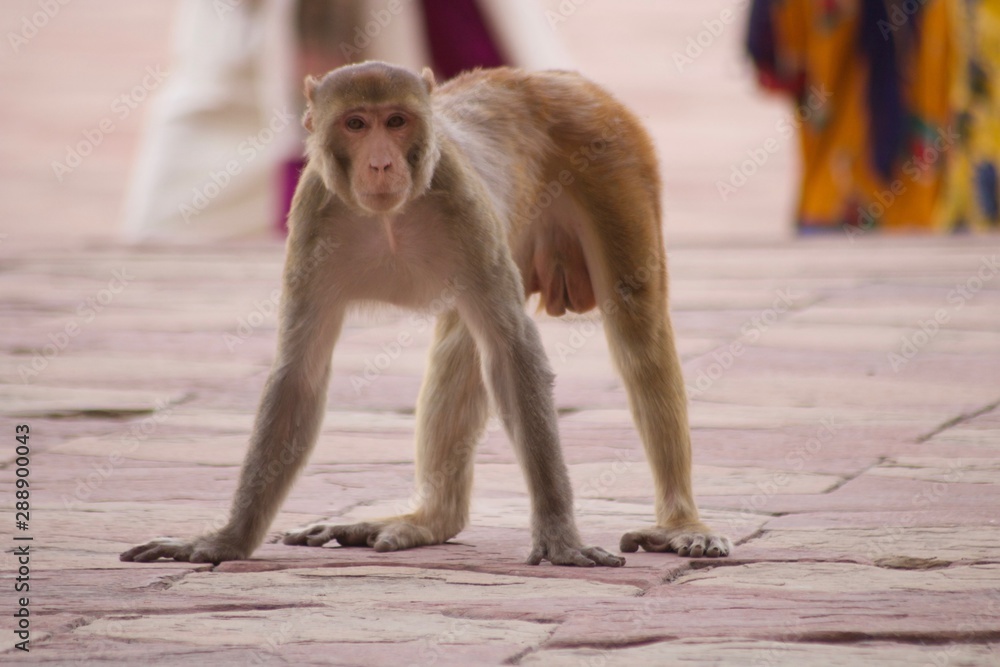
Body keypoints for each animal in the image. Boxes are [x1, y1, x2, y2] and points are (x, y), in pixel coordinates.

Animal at [120, 61, 732, 567]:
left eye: (396, 121)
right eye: (355, 124)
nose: (381, 162)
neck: (388, 219)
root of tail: (549, 75)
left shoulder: (462, 202)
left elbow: (513, 355)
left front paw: (559, 536)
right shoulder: (312, 217)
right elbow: (300, 373)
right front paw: (225, 540)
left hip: (616, 157)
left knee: (636, 332)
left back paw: (680, 523)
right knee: (461, 345)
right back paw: (429, 520)